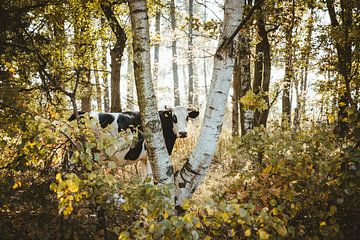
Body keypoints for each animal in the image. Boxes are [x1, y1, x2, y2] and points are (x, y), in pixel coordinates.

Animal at [68, 106, 200, 177]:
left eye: (187, 117)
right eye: (174, 117)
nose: (183, 133)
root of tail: (84, 112)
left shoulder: (143, 159)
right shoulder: (151, 157)